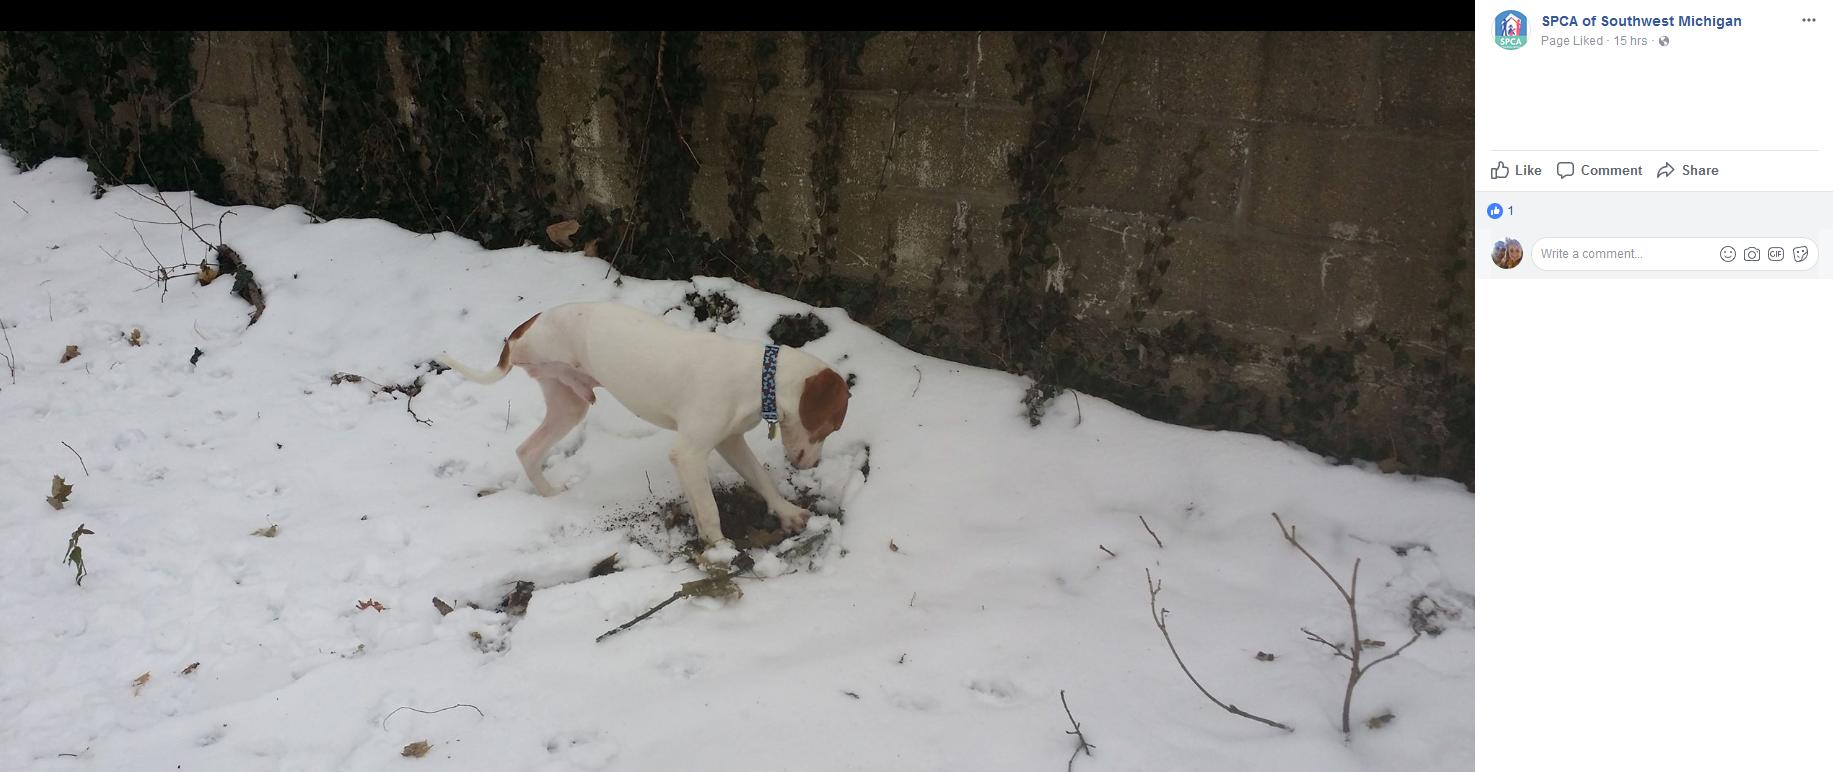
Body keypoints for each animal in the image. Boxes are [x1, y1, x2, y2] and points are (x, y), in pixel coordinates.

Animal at [437, 302, 849, 555]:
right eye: (830, 426)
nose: (813, 465)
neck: (759, 377)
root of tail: (526, 326)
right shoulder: (689, 453)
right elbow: (710, 510)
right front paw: (721, 551)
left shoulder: (728, 442)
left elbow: (759, 480)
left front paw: (785, 512)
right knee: (528, 449)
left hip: (569, 405)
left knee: (527, 451)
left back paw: (552, 496)